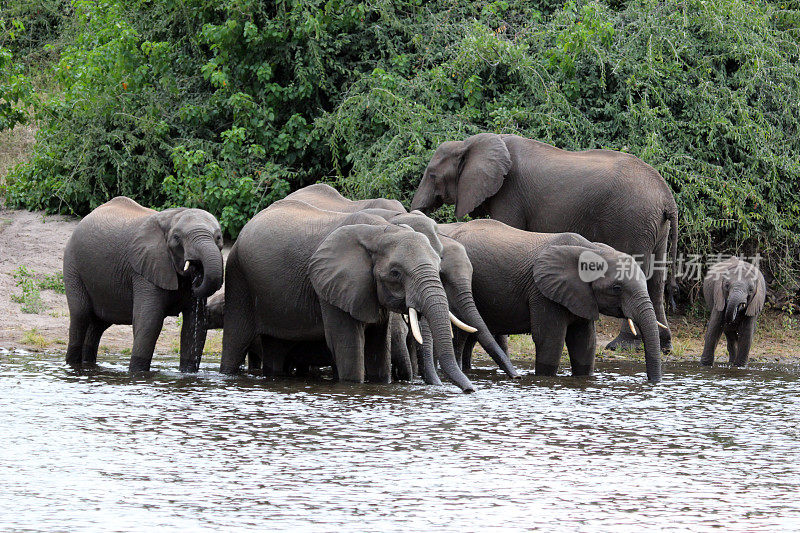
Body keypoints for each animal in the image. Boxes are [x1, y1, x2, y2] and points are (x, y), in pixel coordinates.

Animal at [61, 194, 225, 370]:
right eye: (176, 238)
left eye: (218, 238)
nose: (196, 277)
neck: (172, 217)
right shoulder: (144, 271)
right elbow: (149, 322)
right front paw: (137, 372)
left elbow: (195, 324)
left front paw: (188, 373)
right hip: (72, 265)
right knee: (81, 314)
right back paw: (72, 365)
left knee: (98, 324)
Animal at [219, 198, 476, 390]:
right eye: (395, 273)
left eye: (439, 265)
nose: (470, 390)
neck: (382, 230)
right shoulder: (330, 285)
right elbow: (348, 346)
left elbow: (378, 349)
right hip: (238, 277)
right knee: (236, 340)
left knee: (276, 348)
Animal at [412, 132, 680, 354]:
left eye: (432, 175)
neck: (471, 142)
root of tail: (667, 197)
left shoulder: (509, 194)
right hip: (654, 226)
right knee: (656, 279)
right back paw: (664, 347)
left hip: (632, 219)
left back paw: (620, 346)